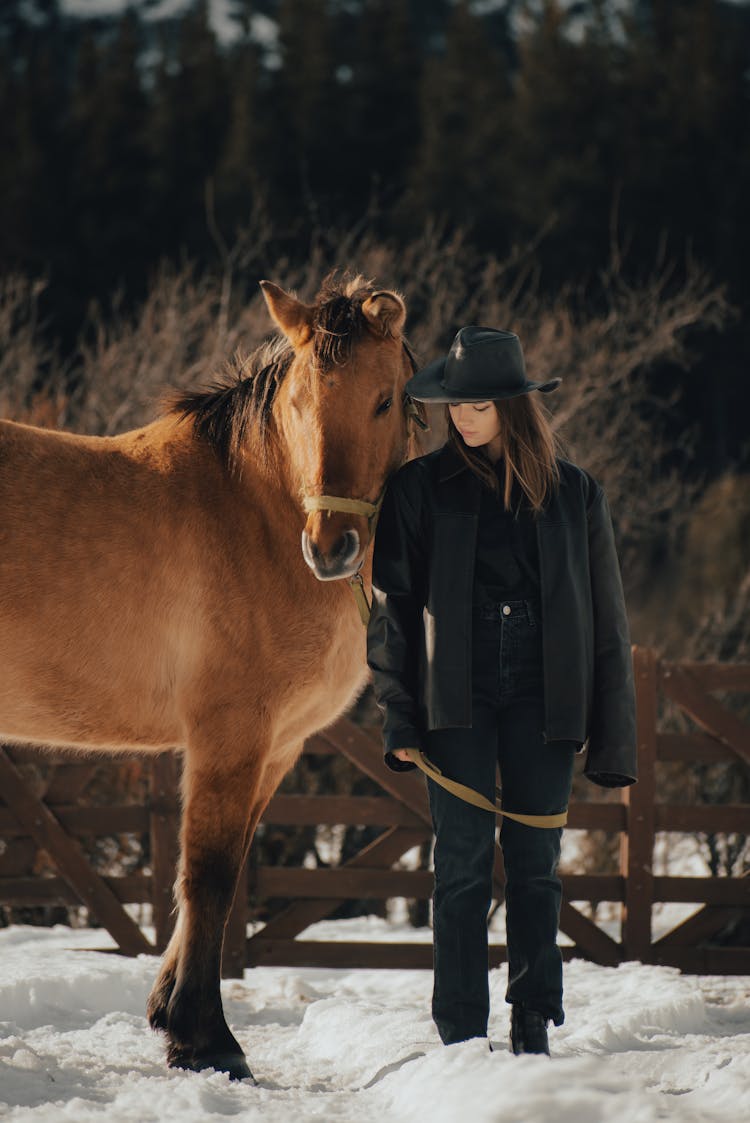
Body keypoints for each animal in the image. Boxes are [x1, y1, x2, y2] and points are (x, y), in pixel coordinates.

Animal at [0, 271, 424, 1078]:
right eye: (299, 405)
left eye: (384, 399)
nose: (330, 548)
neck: (253, 515)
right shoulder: (230, 735)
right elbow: (210, 875)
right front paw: (208, 1040)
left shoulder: (277, 746)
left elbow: (219, 877)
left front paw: (175, 1018)